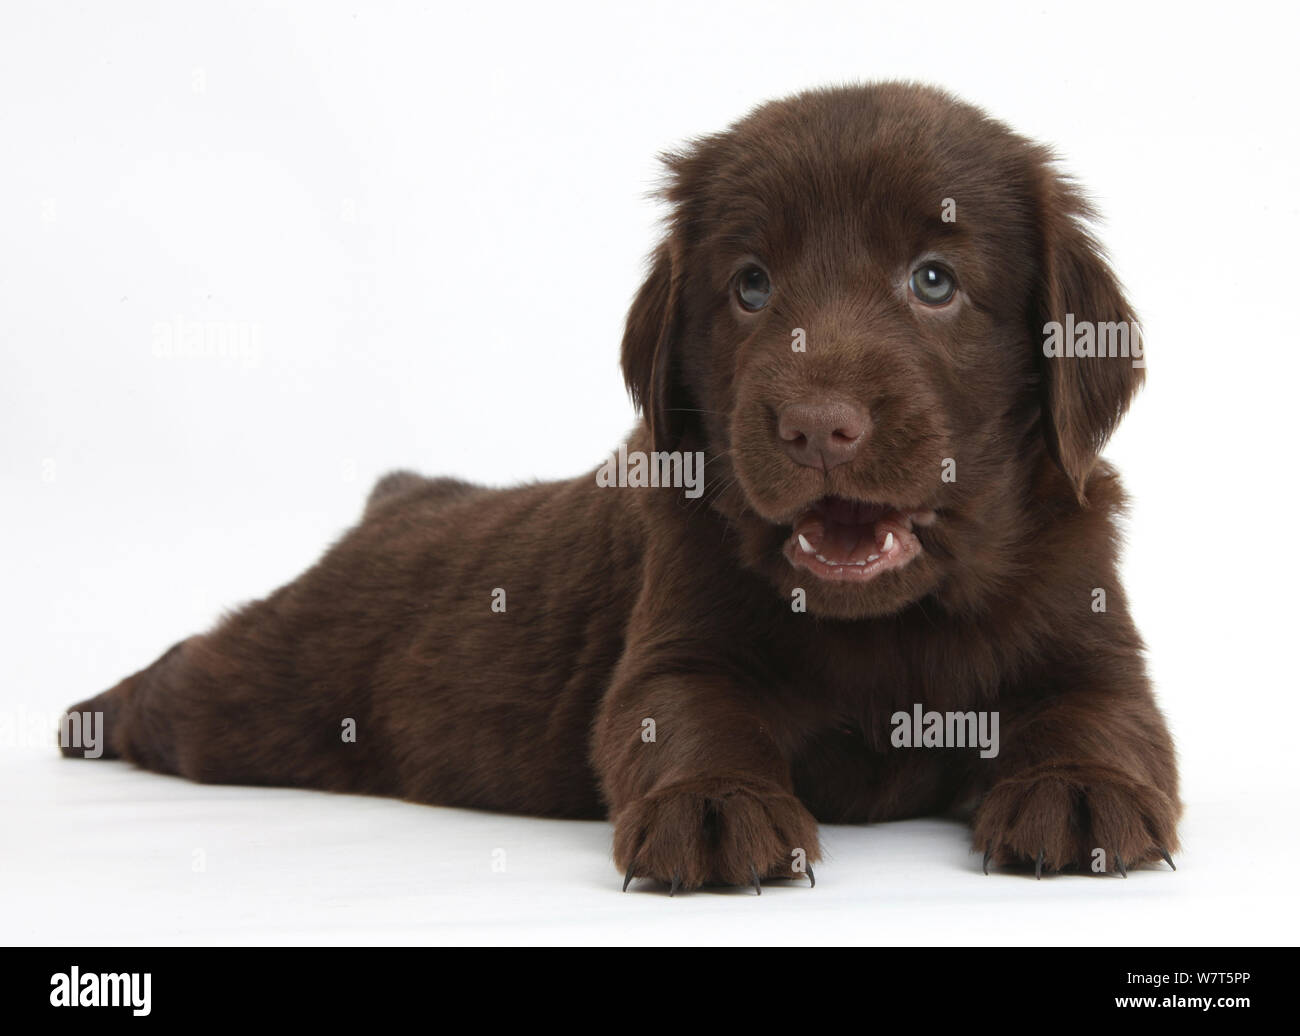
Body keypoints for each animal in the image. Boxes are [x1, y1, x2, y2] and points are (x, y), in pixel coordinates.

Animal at [61, 82, 1180, 889]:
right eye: (750, 286)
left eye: (935, 280)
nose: (817, 425)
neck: (890, 622)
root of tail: (406, 496)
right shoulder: (675, 639)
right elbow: (684, 713)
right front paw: (714, 807)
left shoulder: (1090, 628)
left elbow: (1102, 712)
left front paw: (1080, 789)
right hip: (268, 692)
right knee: (192, 673)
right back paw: (89, 716)